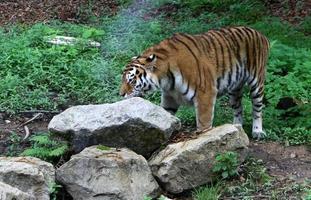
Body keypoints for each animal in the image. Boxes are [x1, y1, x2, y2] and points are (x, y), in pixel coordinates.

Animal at [119, 26, 270, 139]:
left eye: (131, 80)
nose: (121, 94)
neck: (165, 79)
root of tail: (260, 34)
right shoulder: (169, 97)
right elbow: (166, 115)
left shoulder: (205, 93)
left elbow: (204, 123)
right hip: (234, 90)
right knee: (239, 108)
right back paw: (236, 127)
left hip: (257, 83)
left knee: (257, 108)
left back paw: (257, 131)